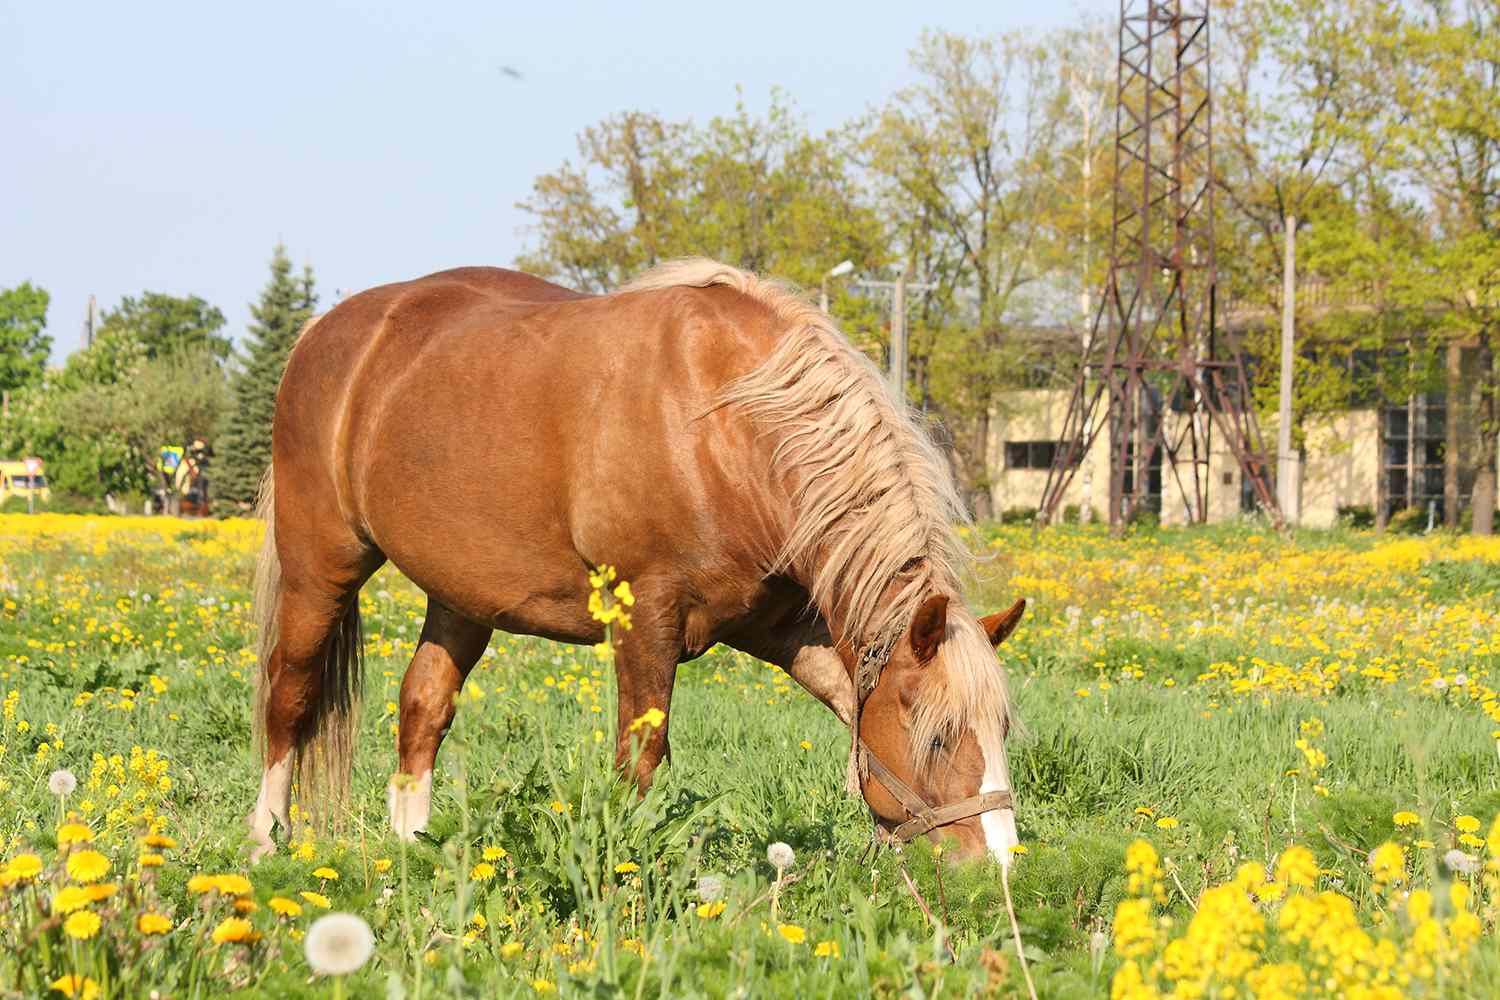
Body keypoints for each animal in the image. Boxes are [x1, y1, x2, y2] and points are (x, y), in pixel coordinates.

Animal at [249, 257, 1020, 869]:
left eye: (1003, 730)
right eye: (939, 737)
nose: (1001, 868)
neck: (731, 426)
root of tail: (327, 333)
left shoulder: (789, 631)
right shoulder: (644, 616)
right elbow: (638, 760)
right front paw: (627, 869)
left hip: (460, 597)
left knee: (423, 708)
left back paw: (414, 852)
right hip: (322, 564)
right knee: (289, 695)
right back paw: (266, 842)